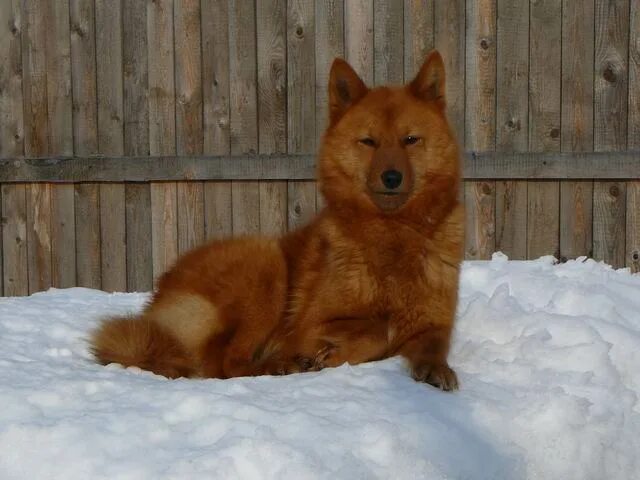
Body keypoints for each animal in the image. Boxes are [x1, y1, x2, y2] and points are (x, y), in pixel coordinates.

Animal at [91, 49, 460, 390]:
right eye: (368, 141)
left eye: (410, 140)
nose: (392, 177)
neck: (393, 233)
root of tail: (160, 296)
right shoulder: (311, 325)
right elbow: (378, 327)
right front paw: (332, 354)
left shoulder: (436, 325)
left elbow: (430, 345)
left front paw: (436, 370)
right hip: (265, 262)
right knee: (229, 365)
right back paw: (280, 365)